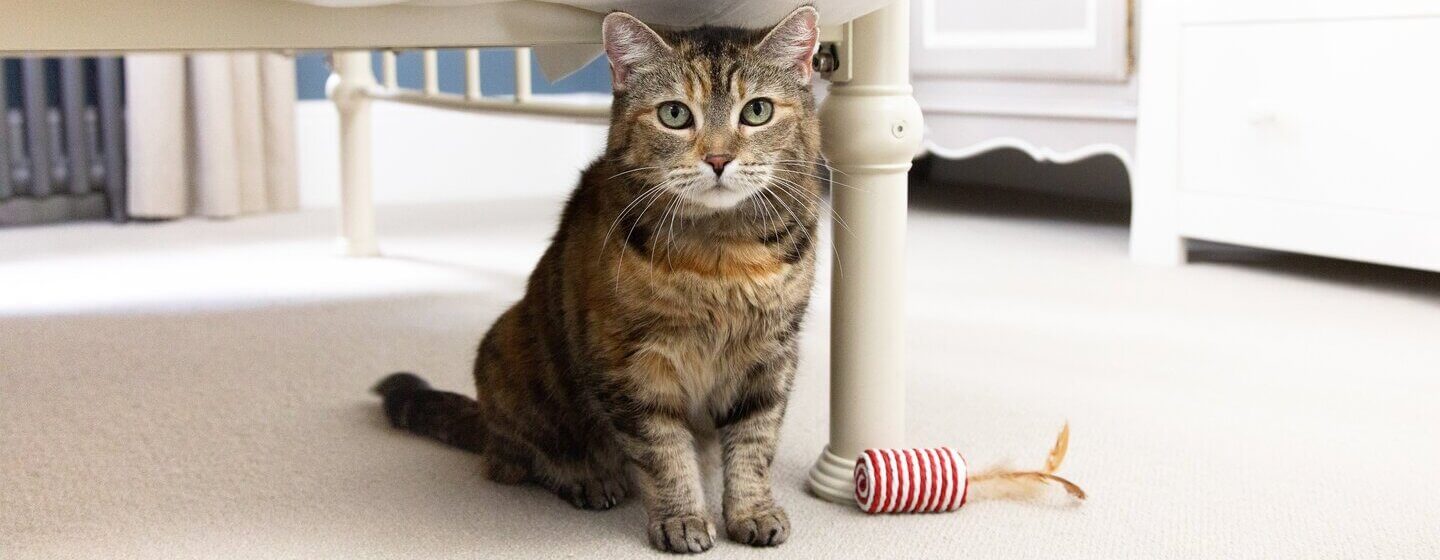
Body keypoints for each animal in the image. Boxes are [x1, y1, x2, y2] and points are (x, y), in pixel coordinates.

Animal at [371, 6, 823, 552]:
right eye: (675, 114)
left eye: (756, 111)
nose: (718, 159)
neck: (722, 257)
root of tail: (485, 418)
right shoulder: (631, 364)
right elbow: (665, 453)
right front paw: (682, 519)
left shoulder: (772, 355)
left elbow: (756, 441)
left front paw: (752, 511)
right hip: (509, 353)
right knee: (520, 460)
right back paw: (588, 479)